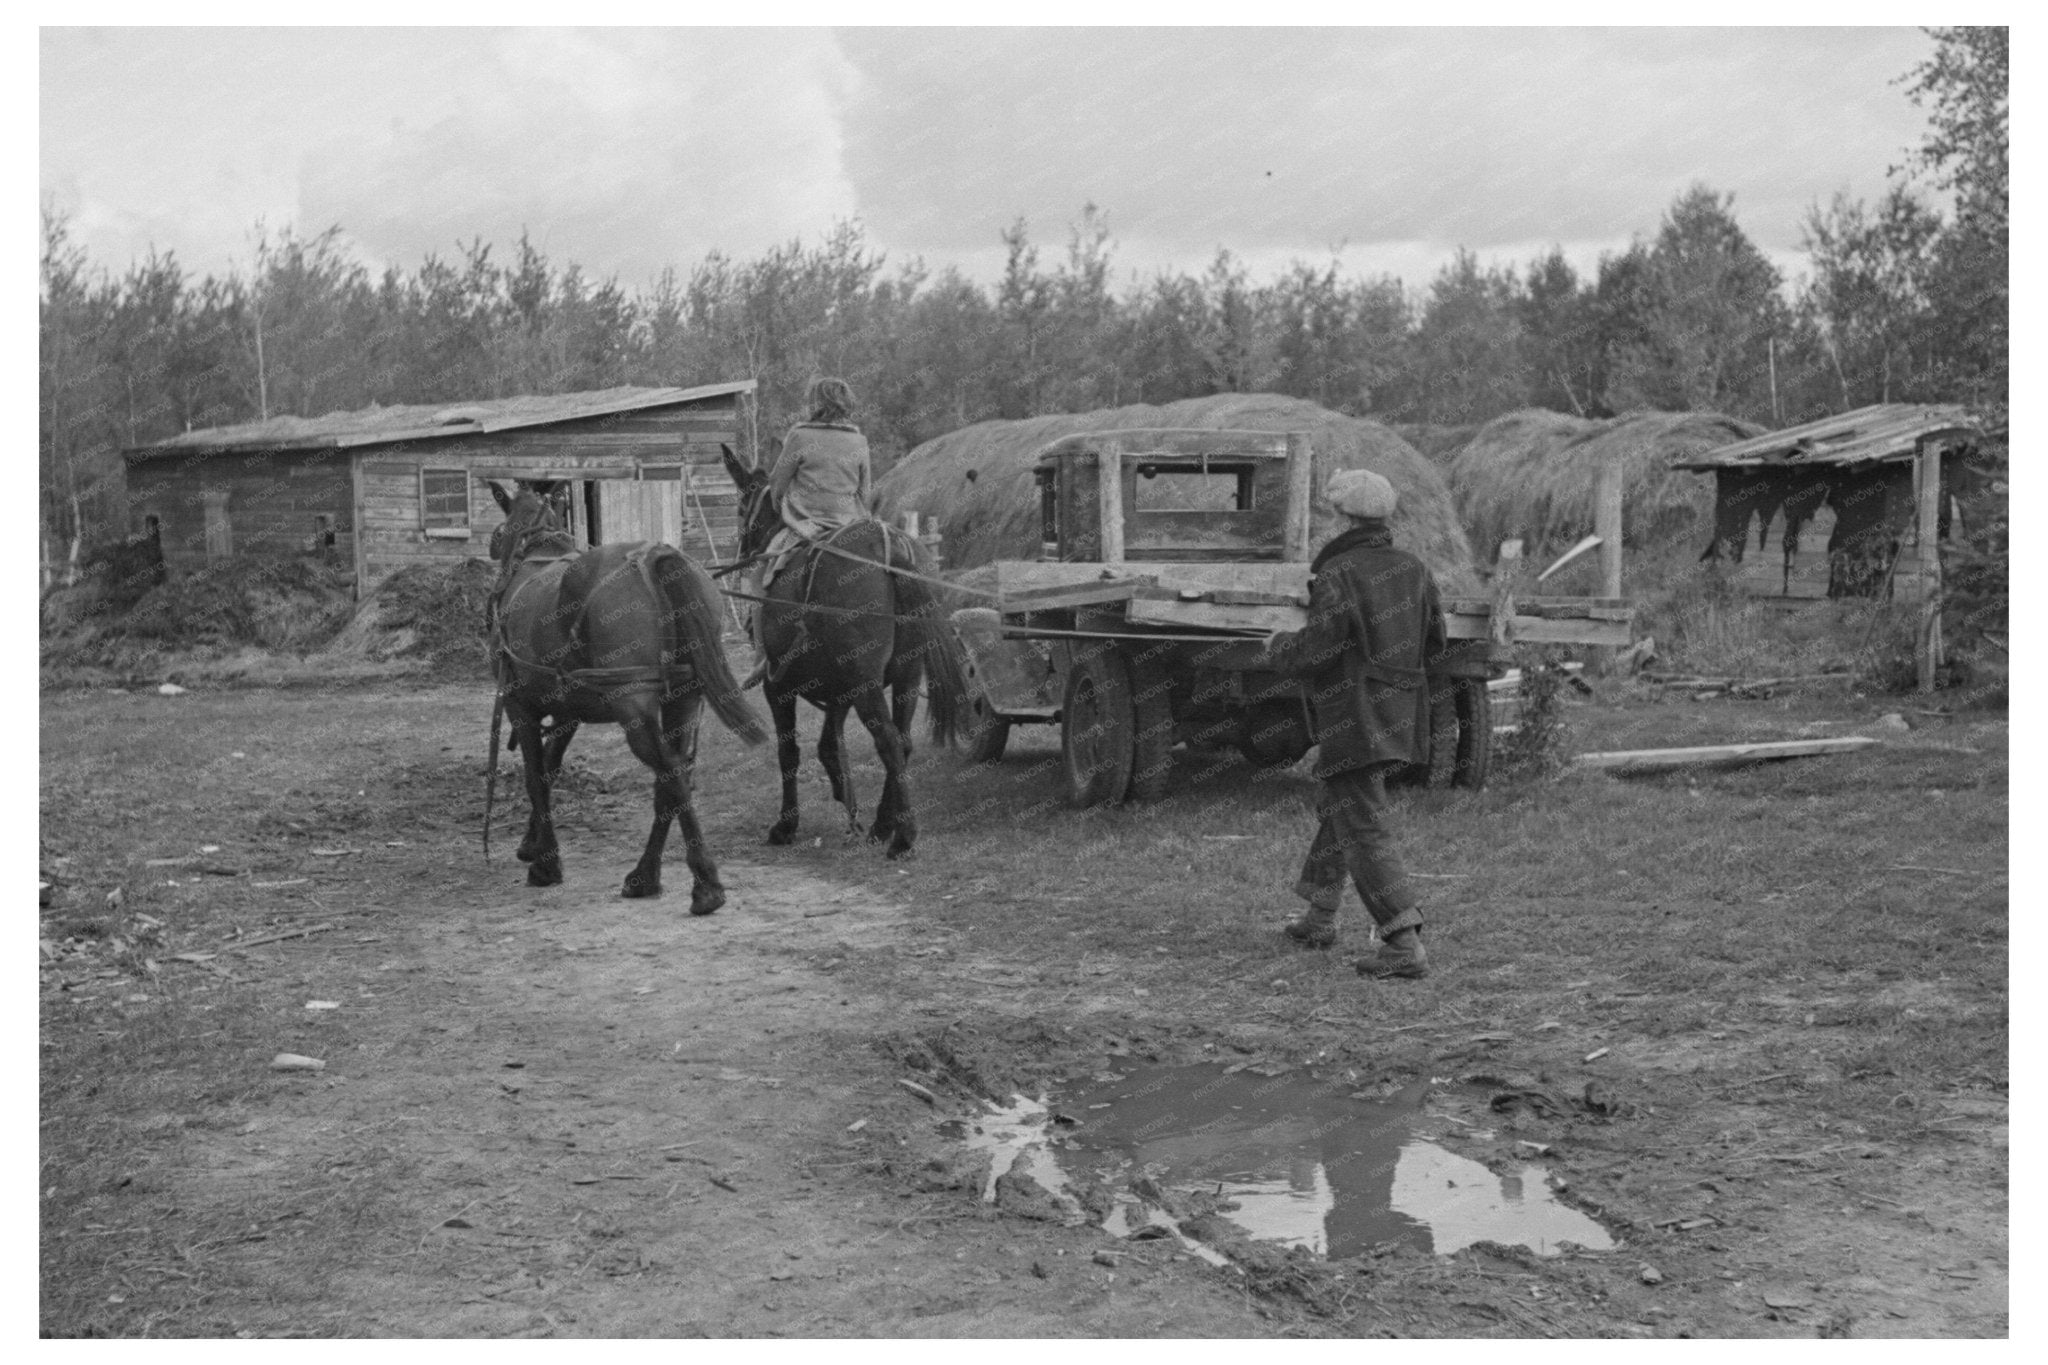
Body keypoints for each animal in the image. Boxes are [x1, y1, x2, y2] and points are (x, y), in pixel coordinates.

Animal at [485, 482, 770, 916]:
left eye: (498, 533)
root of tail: (654, 557)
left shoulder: (521, 706)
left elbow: (535, 776)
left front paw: (546, 863)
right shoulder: (568, 712)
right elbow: (550, 768)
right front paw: (532, 844)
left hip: (633, 704)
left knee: (670, 772)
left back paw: (704, 883)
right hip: (684, 699)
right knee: (675, 778)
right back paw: (645, 875)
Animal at [716, 444, 962, 859]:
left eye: (740, 507)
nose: (745, 549)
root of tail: (887, 545)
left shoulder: (778, 687)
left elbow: (790, 753)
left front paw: (786, 825)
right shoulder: (840, 689)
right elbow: (829, 743)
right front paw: (845, 798)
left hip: (866, 685)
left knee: (889, 741)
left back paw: (903, 835)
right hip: (907, 674)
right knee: (903, 741)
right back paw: (882, 825)